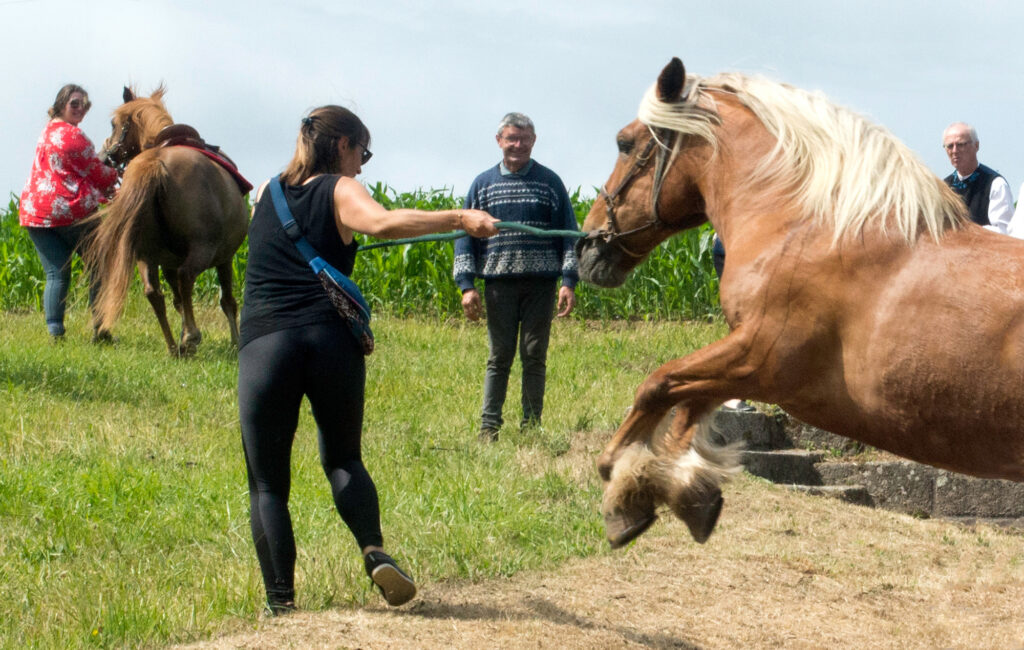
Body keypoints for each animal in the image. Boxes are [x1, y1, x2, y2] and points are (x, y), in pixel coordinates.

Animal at [85, 86, 249, 356]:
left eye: (113, 124)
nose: (103, 157)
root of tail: (156, 164)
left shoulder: (167, 263)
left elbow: (179, 300)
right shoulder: (225, 257)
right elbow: (226, 300)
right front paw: (235, 342)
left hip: (145, 254)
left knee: (155, 293)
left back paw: (174, 346)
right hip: (202, 249)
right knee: (187, 277)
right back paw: (191, 338)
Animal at [577, 57, 1024, 549]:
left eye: (625, 142)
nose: (586, 246)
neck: (808, 226)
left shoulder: (762, 360)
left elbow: (659, 385)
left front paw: (623, 490)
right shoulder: (744, 361)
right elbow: (686, 407)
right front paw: (689, 492)